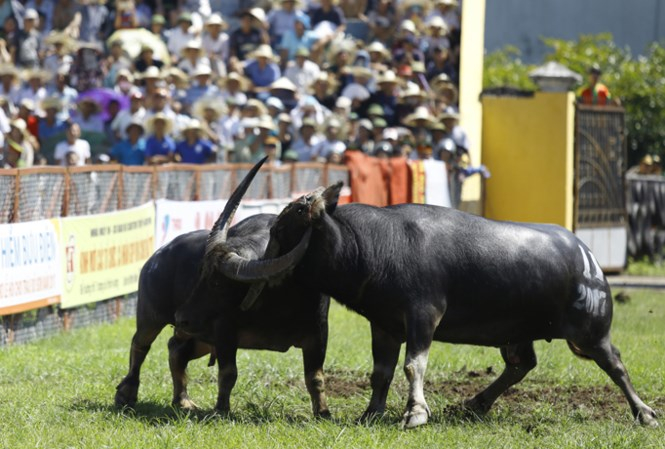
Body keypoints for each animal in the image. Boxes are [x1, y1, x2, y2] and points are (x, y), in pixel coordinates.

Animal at [118, 158, 330, 416]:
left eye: (217, 283)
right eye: (201, 274)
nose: (181, 317)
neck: (280, 298)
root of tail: (157, 256)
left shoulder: (318, 333)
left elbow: (315, 378)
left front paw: (323, 412)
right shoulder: (224, 331)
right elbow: (228, 373)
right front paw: (221, 409)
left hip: (197, 334)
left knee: (175, 349)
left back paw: (182, 400)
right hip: (153, 317)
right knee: (140, 344)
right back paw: (126, 392)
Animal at [235, 182, 660, 428]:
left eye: (282, 228)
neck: (370, 246)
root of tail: (588, 257)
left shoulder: (424, 314)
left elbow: (413, 365)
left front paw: (415, 414)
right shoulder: (384, 324)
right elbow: (381, 373)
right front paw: (371, 413)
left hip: (592, 331)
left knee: (615, 364)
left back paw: (645, 413)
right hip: (516, 332)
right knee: (522, 364)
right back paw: (473, 405)